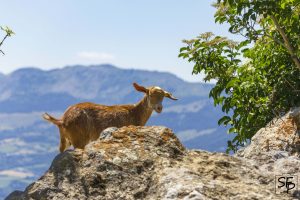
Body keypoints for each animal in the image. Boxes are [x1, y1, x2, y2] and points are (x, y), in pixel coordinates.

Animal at [42, 82, 178, 152]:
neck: (135, 112)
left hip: (65, 139)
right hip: (79, 138)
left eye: (163, 96)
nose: (159, 108)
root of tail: (62, 120)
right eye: (150, 94)